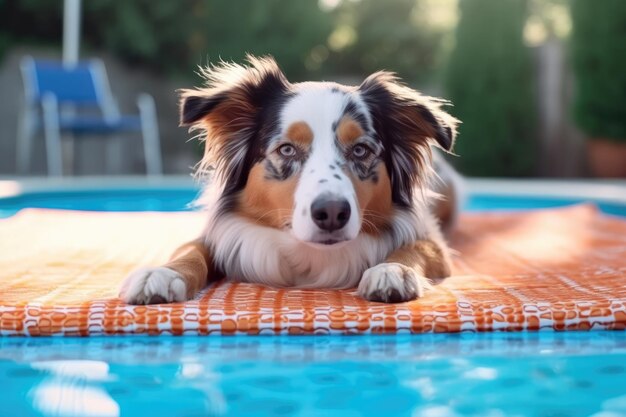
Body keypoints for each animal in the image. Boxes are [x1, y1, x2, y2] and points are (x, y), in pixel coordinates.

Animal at [118, 53, 458, 304]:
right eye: (287, 149)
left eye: (361, 150)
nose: (332, 213)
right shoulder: (216, 234)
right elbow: (190, 249)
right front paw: (162, 274)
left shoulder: (430, 238)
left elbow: (416, 247)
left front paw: (392, 270)